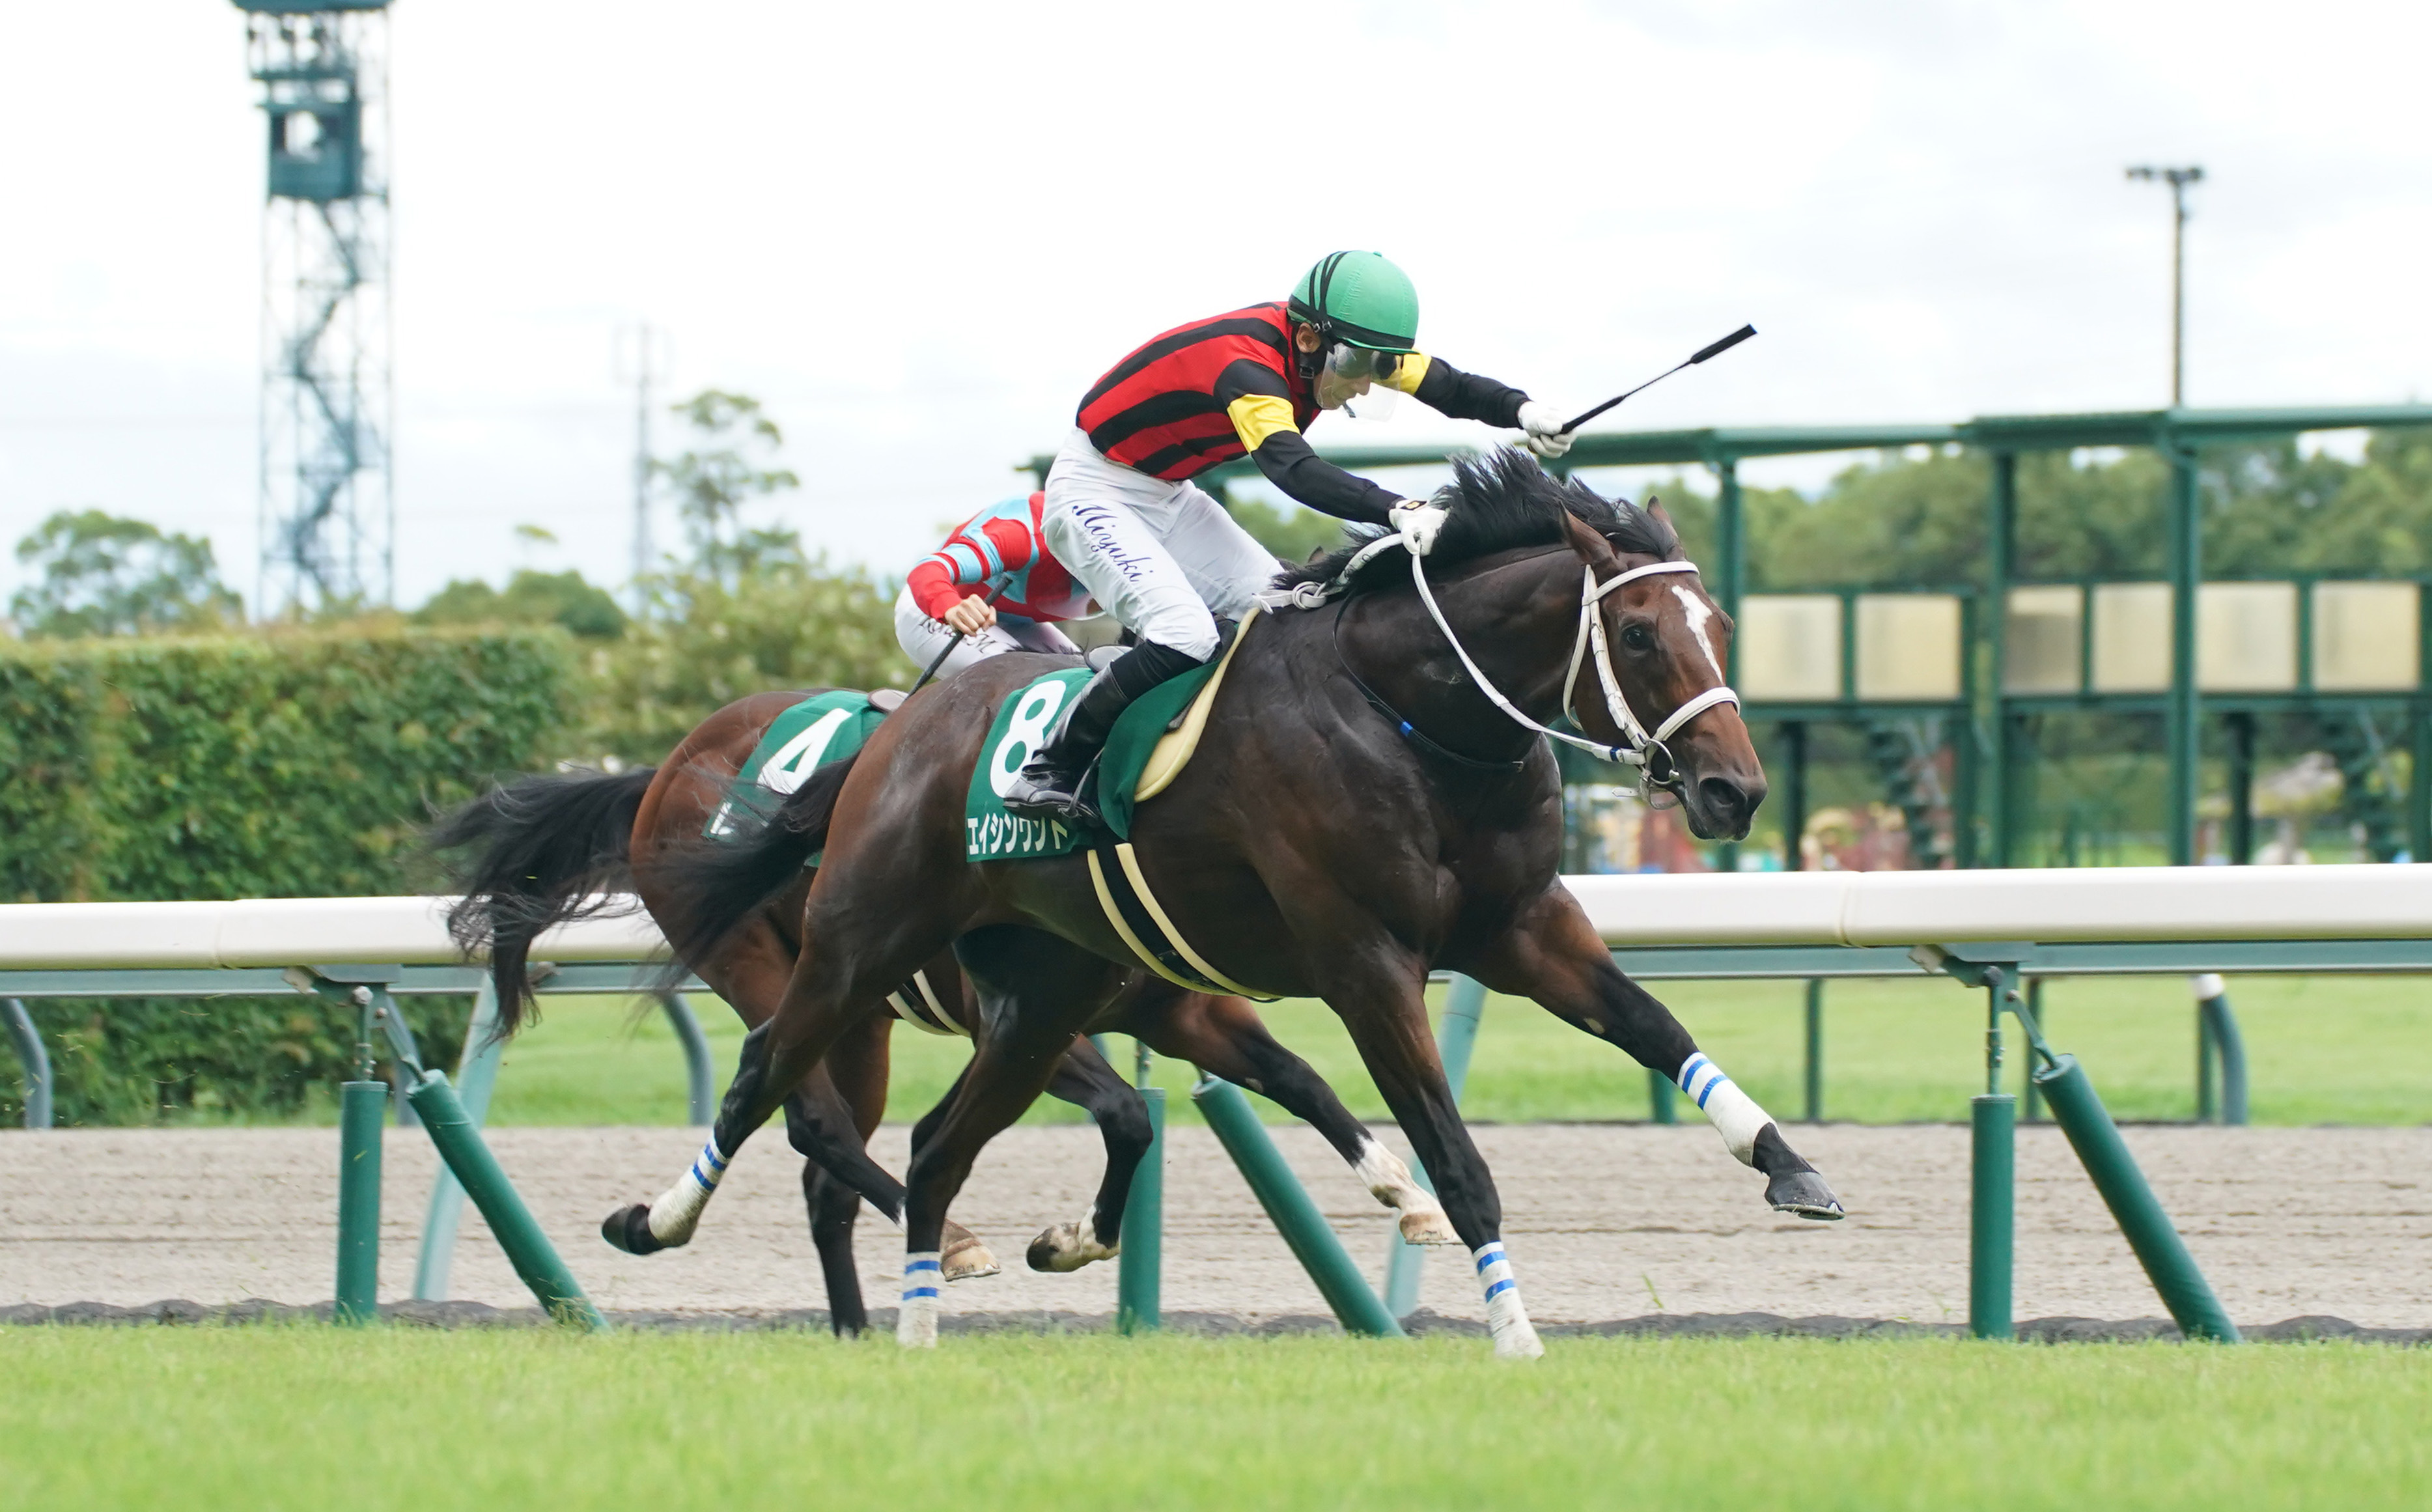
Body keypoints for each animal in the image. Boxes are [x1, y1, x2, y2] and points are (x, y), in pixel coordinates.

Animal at [434, 692, 1451, 1333]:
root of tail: (663, 771)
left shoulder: (1181, 1014)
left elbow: (1302, 1080)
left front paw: (1409, 1197)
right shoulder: (1033, 1020)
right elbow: (1126, 1111)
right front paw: (1061, 1239)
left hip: (859, 1019)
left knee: (825, 1173)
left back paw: (856, 1328)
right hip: (762, 963)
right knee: (804, 1114)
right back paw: (948, 1247)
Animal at [625, 449, 1845, 1358]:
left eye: (1719, 625)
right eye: (1637, 634)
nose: (1735, 791)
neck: (1409, 713)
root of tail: (895, 731)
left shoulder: (1522, 927)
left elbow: (1656, 1027)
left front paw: (1789, 1165)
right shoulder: (1364, 959)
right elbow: (1453, 1156)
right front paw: (1513, 1333)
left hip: (1038, 998)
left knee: (932, 1146)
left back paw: (922, 1325)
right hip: (858, 946)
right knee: (769, 1082)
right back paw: (654, 1219)